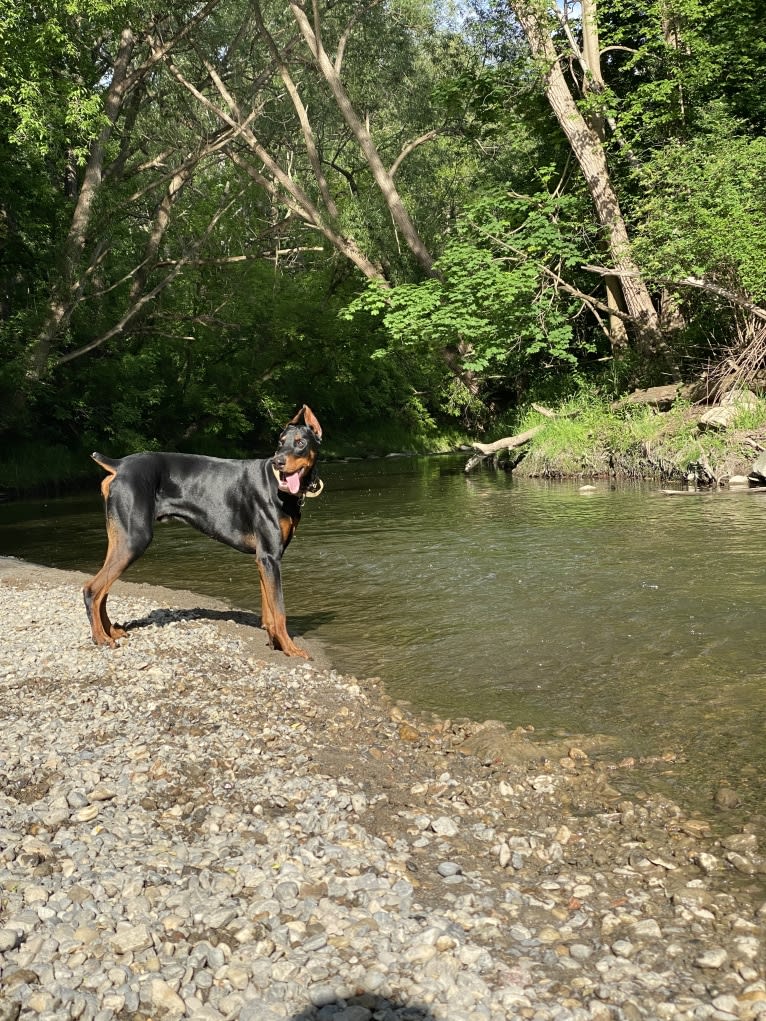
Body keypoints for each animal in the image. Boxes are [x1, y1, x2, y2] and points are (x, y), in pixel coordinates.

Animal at [83, 402, 324, 657]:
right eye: (280, 442)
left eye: (300, 442)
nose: (278, 461)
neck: (280, 487)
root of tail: (119, 465)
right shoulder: (270, 556)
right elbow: (279, 610)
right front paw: (291, 649)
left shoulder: (264, 558)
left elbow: (269, 611)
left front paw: (276, 644)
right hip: (134, 539)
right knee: (92, 589)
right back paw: (101, 638)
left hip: (120, 539)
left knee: (103, 590)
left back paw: (111, 631)